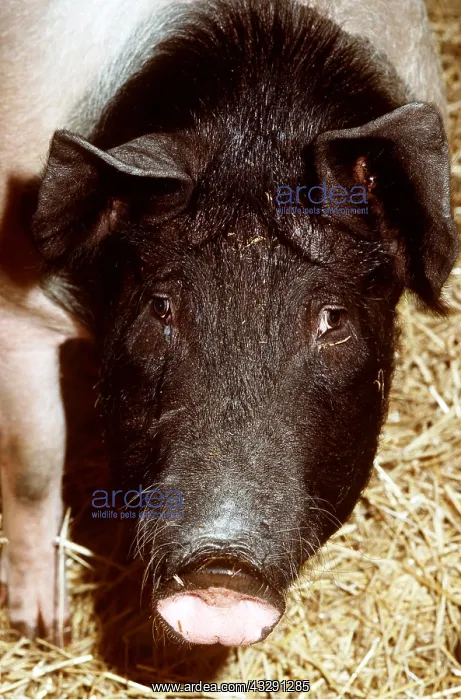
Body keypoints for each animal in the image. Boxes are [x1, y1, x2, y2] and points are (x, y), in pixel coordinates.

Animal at [0, 0, 458, 647]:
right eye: (161, 307)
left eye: (333, 319)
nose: (222, 568)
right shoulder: (19, 312)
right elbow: (34, 464)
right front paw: (43, 631)